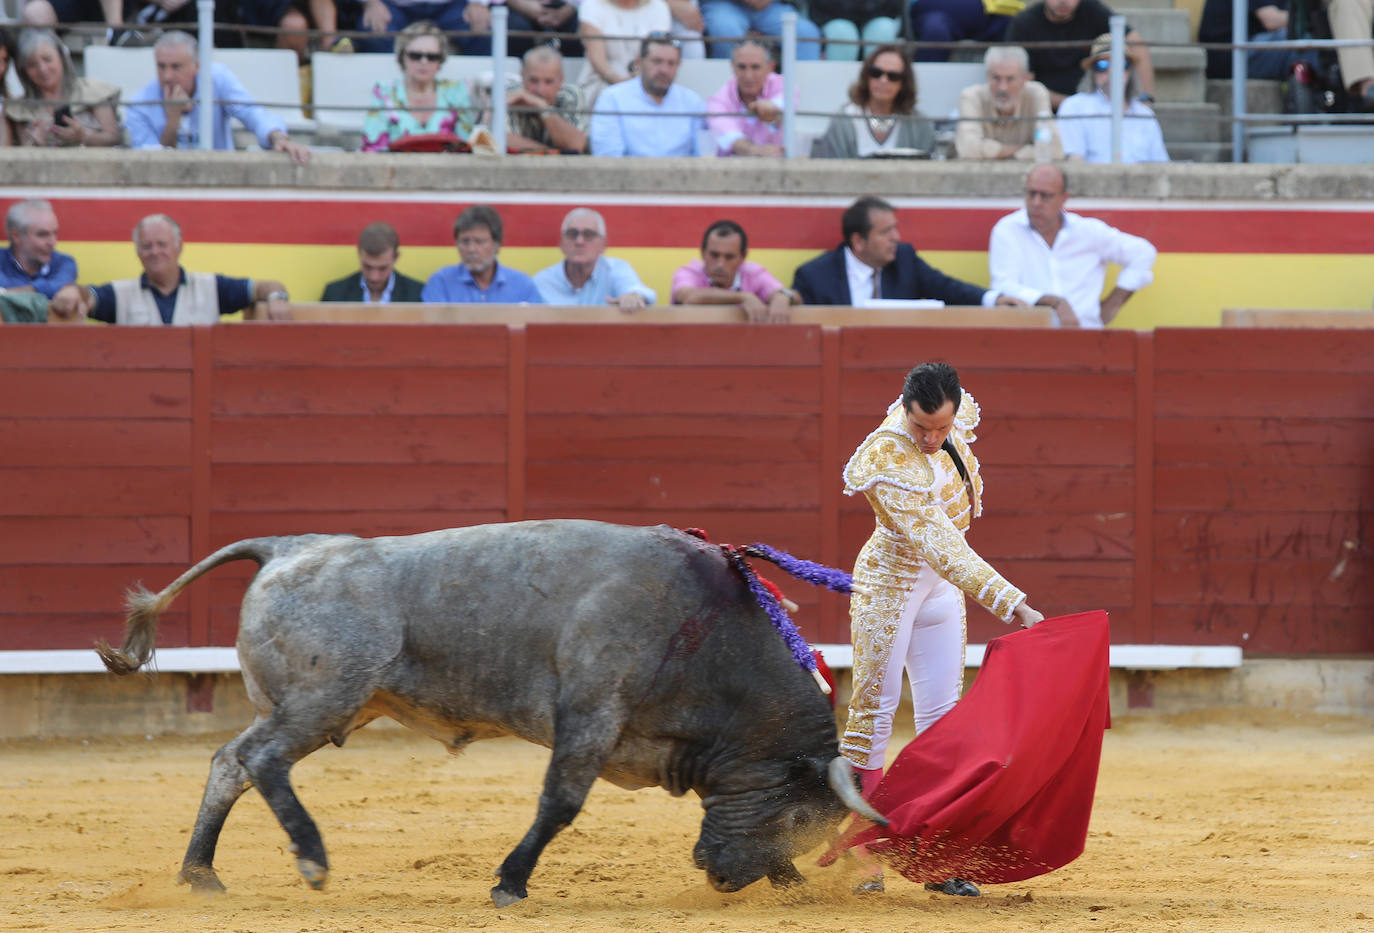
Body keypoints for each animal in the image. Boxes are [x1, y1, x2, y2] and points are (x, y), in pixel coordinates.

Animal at [99, 519, 890, 906]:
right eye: (795, 811)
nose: (723, 878)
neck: (704, 631)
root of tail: (288, 546)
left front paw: (794, 887)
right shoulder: (591, 716)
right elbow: (559, 804)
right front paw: (510, 882)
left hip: (312, 706)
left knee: (228, 762)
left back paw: (200, 873)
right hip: (325, 699)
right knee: (259, 760)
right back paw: (312, 859)